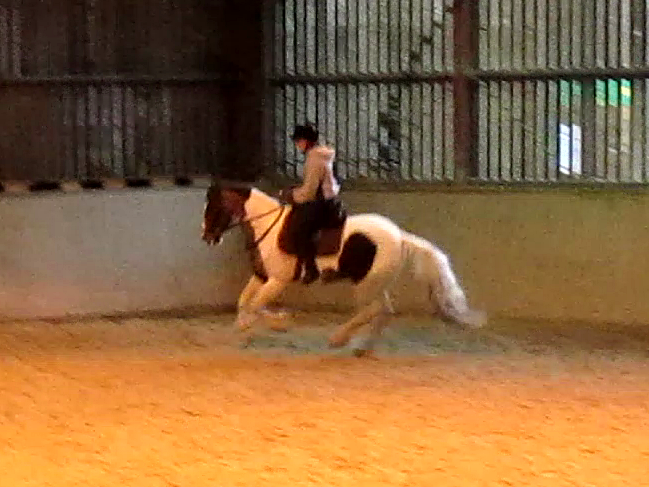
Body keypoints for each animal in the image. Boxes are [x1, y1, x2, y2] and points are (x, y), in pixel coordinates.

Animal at [201, 180, 487, 356]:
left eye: (213, 208)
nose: (208, 238)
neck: (269, 227)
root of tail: (399, 236)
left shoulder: (277, 281)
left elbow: (256, 307)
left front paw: (279, 322)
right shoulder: (262, 277)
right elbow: (244, 303)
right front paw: (243, 329)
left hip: (365, 284)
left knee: (371, 311)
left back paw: (339, 340)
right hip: (375, 283)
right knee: (384, 311)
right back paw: (361, 348)